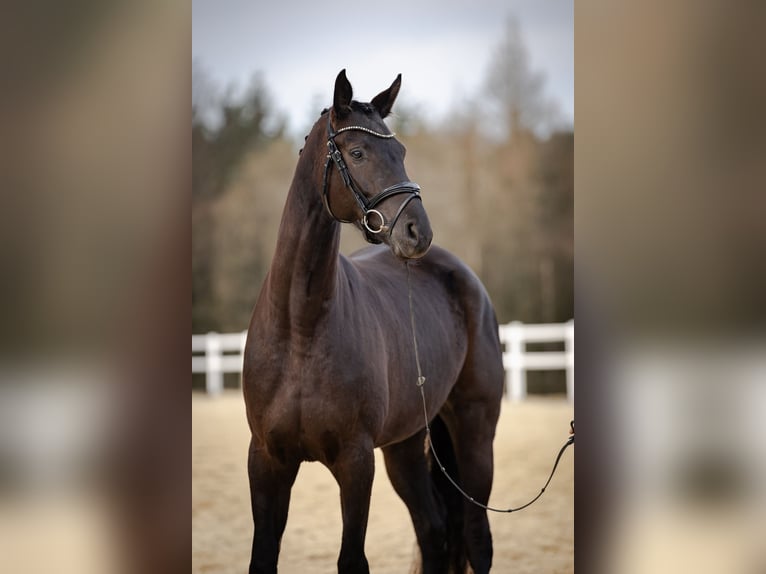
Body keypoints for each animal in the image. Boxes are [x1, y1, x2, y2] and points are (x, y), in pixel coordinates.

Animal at [246, 70, 508, 572]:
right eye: (358, 153)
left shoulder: (355, 461)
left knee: (476, 537)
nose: (417, 232)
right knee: (433, 529)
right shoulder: (267, 461)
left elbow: (353, 559)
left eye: (401, 151)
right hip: (405, 446)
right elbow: (263, 556)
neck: (300, 329)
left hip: (475, 432)